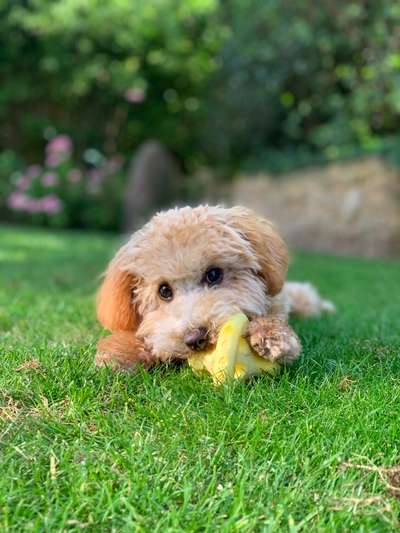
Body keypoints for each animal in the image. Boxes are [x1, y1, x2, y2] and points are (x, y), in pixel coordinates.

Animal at [94, 205, 334, 370]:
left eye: (213, 275)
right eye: (164, 291)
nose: (195, 339)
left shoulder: (277, 303)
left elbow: (273, 318)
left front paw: (272, 337)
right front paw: (119, 351)